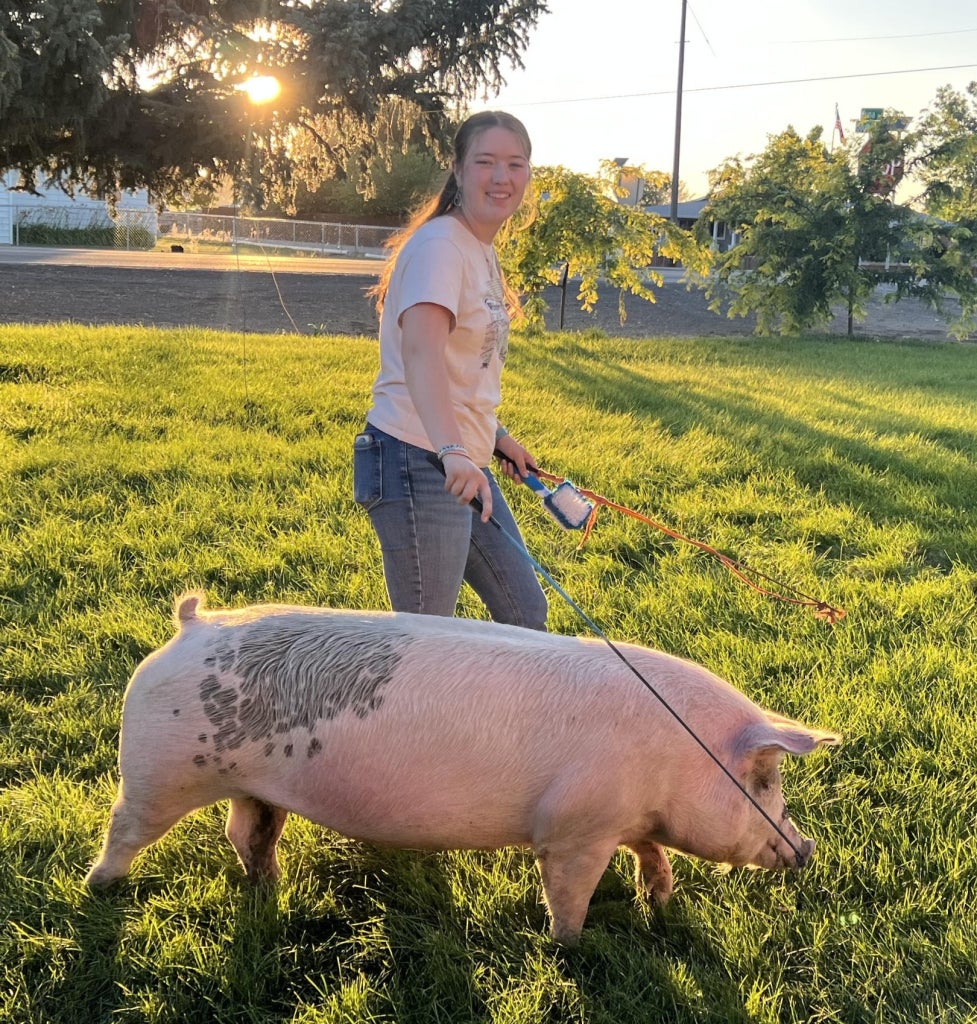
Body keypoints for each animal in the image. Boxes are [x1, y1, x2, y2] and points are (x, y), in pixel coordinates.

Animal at [85, 594, 840, 943]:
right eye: (765, 781)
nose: (806, 848)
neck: (677, 759)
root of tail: (189, 626)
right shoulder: (573, 830)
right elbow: (569, 891)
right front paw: (570, 945)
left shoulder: (628, 819)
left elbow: (651, 853)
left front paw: (660, 900)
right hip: (159, 769)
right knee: (126, 828)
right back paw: (100, 891)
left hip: (252, 787)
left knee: (246, 834)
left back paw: (271, 887)